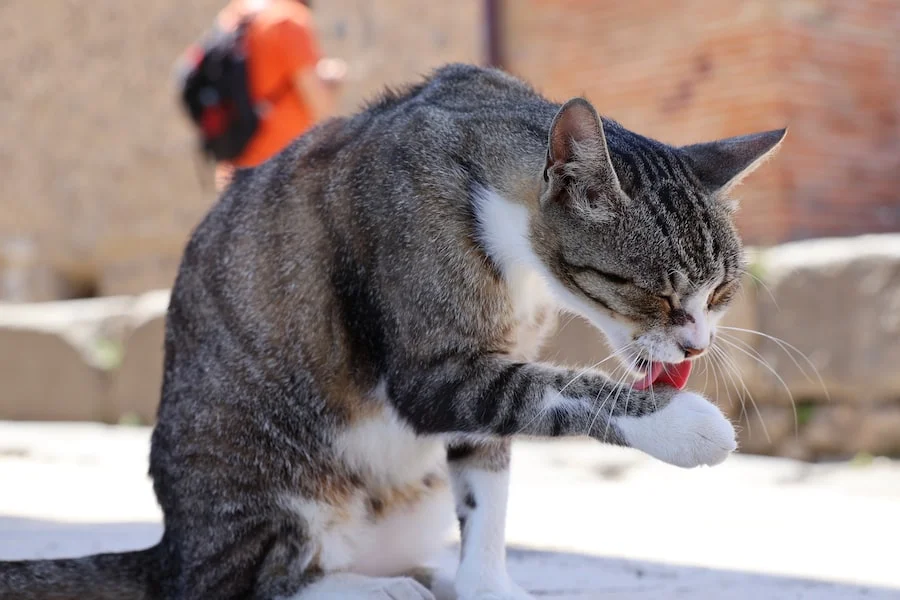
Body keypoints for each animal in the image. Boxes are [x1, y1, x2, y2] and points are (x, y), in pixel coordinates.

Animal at [0, 63, 784, 596]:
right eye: (652, 293)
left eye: (720, 293)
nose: (696, 345)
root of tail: (174, 551)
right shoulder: (435, 371)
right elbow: (553, 391)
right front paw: (686, 425)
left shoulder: (486, 373)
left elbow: (486, 489)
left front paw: (486, 584)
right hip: (267, 481)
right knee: (259, 585)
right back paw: (375, 587)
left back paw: (427, 574)